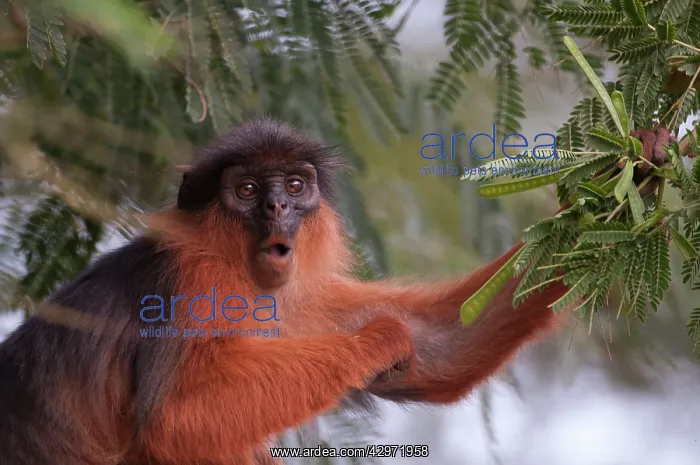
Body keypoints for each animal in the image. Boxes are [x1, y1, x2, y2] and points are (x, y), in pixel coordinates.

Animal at [0, 118, 572, 465]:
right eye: (248, 189)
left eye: (295, 186)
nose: (277, 208)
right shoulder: (191, 282)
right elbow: (170, 420)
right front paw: (377, 339)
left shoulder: (303, 299)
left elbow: (439, 347)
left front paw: (590, 199)